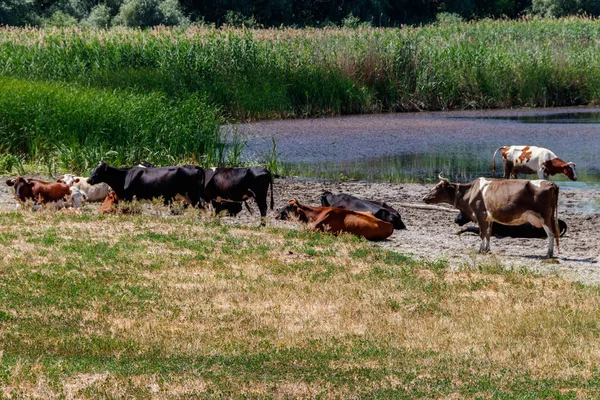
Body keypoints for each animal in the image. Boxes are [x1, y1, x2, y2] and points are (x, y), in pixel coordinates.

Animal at [424, 175, 560, 260]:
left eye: (437, 187)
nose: (424, 198)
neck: (471, 192)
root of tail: (551, 183)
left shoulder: (480, 214)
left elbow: (482, 234)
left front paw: (480, 250)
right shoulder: (488, 218)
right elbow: (488, 233)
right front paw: (487, 249)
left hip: (544, 216)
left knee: (551, 234)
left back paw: (548, 254)